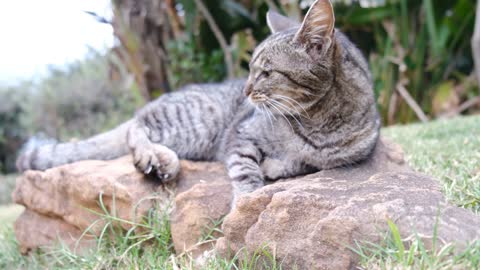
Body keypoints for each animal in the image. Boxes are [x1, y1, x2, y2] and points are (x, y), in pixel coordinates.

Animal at [16, 0, 380, 206]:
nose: (245, 90)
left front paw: (280, 165)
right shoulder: (239, 135)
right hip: (191, 123)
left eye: (265, 72)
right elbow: (246, 171)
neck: (318, 123)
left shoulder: (349, 155)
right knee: (136, 128)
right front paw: (247, 200)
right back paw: (157, 157)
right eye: (250, 69)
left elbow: (309, 162)